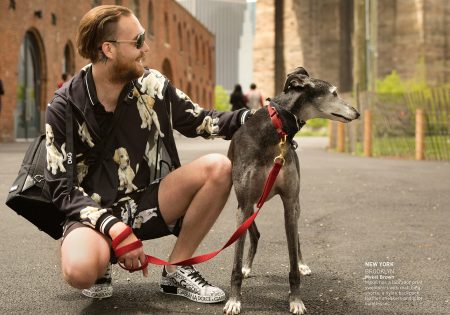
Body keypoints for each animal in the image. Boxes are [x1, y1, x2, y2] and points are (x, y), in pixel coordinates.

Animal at [223, 67, 360, 315]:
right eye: (334, 93)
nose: (357, 113)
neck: (275, 131)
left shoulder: (289, 201)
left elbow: (292, 260)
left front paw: (296, 299)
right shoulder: (244, 203)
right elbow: (236, 259)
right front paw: (234, 300)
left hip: (295, 205)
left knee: (295, 239)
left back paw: (303, 264)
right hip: (246, 205)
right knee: (254, 234)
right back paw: (247, 267)